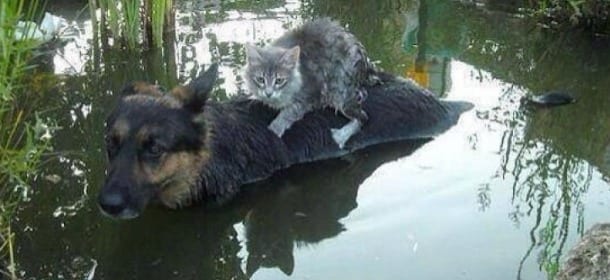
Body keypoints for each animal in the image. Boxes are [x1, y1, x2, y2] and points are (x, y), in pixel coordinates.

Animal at [241, 17, 376, 149]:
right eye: (260, 79)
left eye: (279, 80)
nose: (268, 93)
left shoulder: (310, 94)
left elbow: (288, 112)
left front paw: (274, 129)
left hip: (340, 90)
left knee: (363, 117)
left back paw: (340, 136)